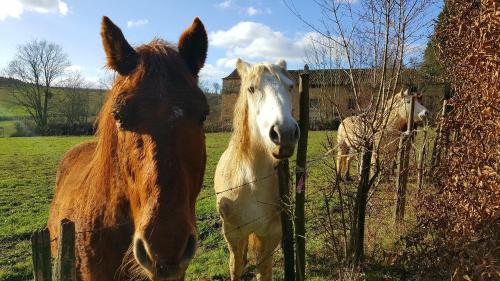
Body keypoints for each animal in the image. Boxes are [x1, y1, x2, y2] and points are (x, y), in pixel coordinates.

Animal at [213, 58, 298, 278]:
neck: (251, 182)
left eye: (290, 86)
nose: (285, 133)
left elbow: (264, 271)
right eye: (251, 89)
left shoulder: (269, 236)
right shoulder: (233, 235)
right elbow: (236, 267)